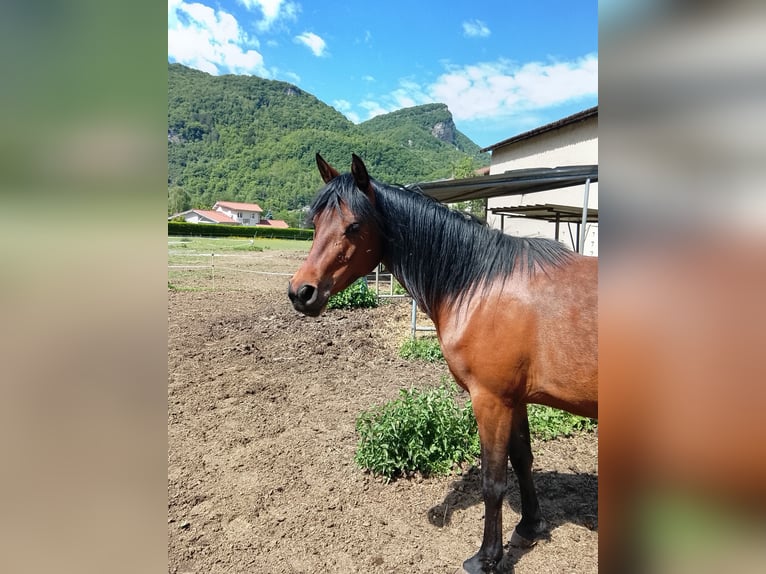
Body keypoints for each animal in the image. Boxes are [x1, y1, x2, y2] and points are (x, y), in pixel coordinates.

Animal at [288, 153, 598, 574]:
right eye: (316, 223)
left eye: (353, 225)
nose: (301, 292)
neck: (485, 285)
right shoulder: (515, 399)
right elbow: (522, 459)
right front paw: (529, 527)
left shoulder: (491, 400)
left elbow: (493, 480)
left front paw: (486, 557)